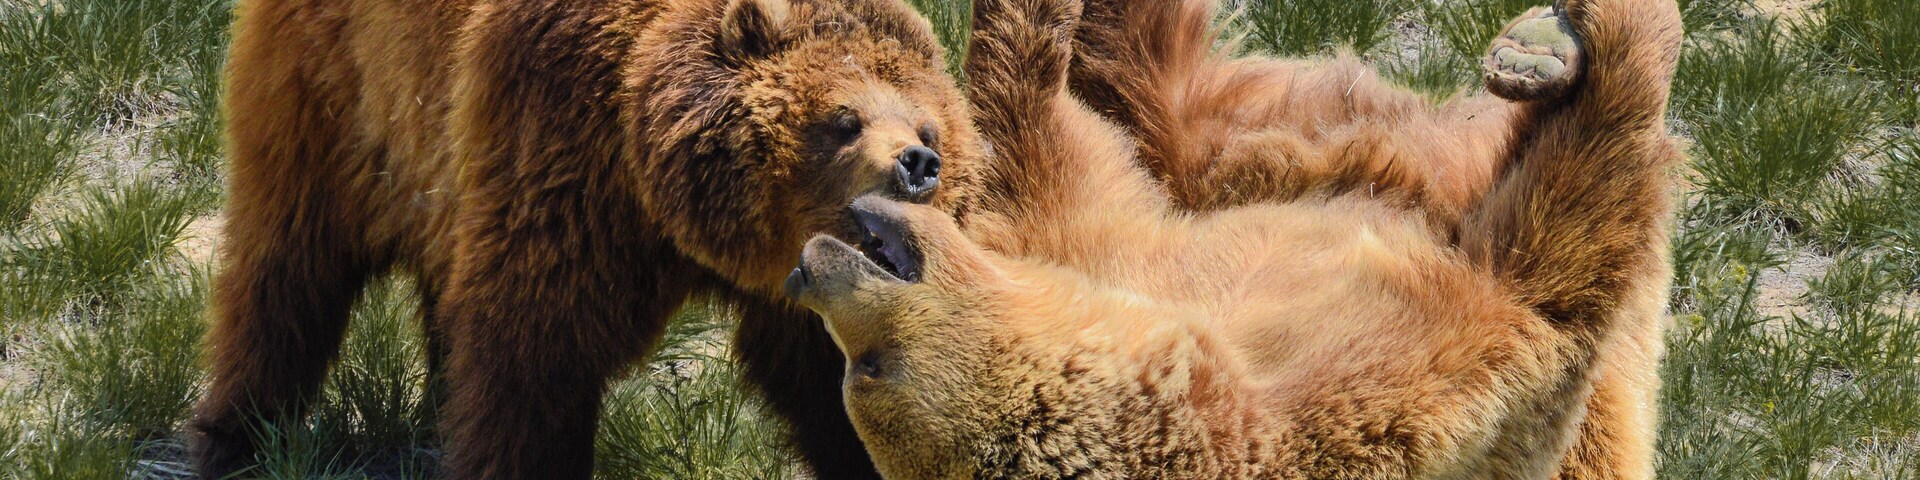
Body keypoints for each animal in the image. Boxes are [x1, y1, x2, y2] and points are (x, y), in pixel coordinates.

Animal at [193, 0, 979, 477]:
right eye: (844, 119)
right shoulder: (562, 160)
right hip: (337, 96)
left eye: (929, 125)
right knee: (288, 267)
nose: (918, 163)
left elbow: (836, 377)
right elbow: (535, 350)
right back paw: (241, 435)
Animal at [785, 0, 1682, 477]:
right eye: (865, 368)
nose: (809, 264)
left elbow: (1037, 137)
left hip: (1246, 150)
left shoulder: (1116, 249)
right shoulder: (1368, 389)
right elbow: (1548, 255)